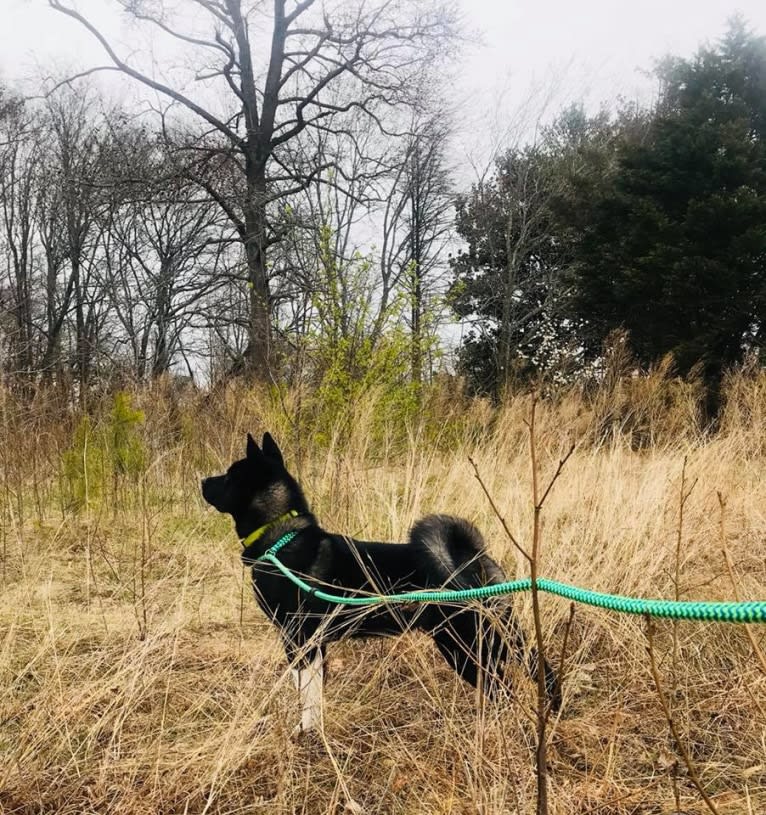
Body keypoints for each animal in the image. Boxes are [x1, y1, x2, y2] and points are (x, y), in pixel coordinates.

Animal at [201, 434, 560, 732]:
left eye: (229, 476)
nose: (203, 480)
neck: (280, 537)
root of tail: (471, 559)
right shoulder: (315, 643)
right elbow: (315, 690)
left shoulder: (298, 640)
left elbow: (305, 692)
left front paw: (305, 730)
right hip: (491, 640)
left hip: (466, 647)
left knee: (504, 689)